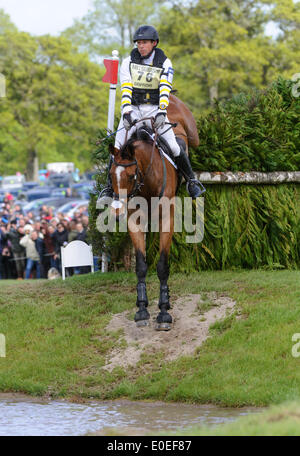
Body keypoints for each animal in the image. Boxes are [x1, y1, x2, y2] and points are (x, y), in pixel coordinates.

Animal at [108, 96, 199, 332]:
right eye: (111, 174)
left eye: (131, 175)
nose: (117, 211)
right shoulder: (135, 221)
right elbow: (141, 266)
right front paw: (142, 310)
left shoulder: (166, 220)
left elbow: (162, 266)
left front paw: (164, 312)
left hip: (191, 135)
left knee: (182, 147)